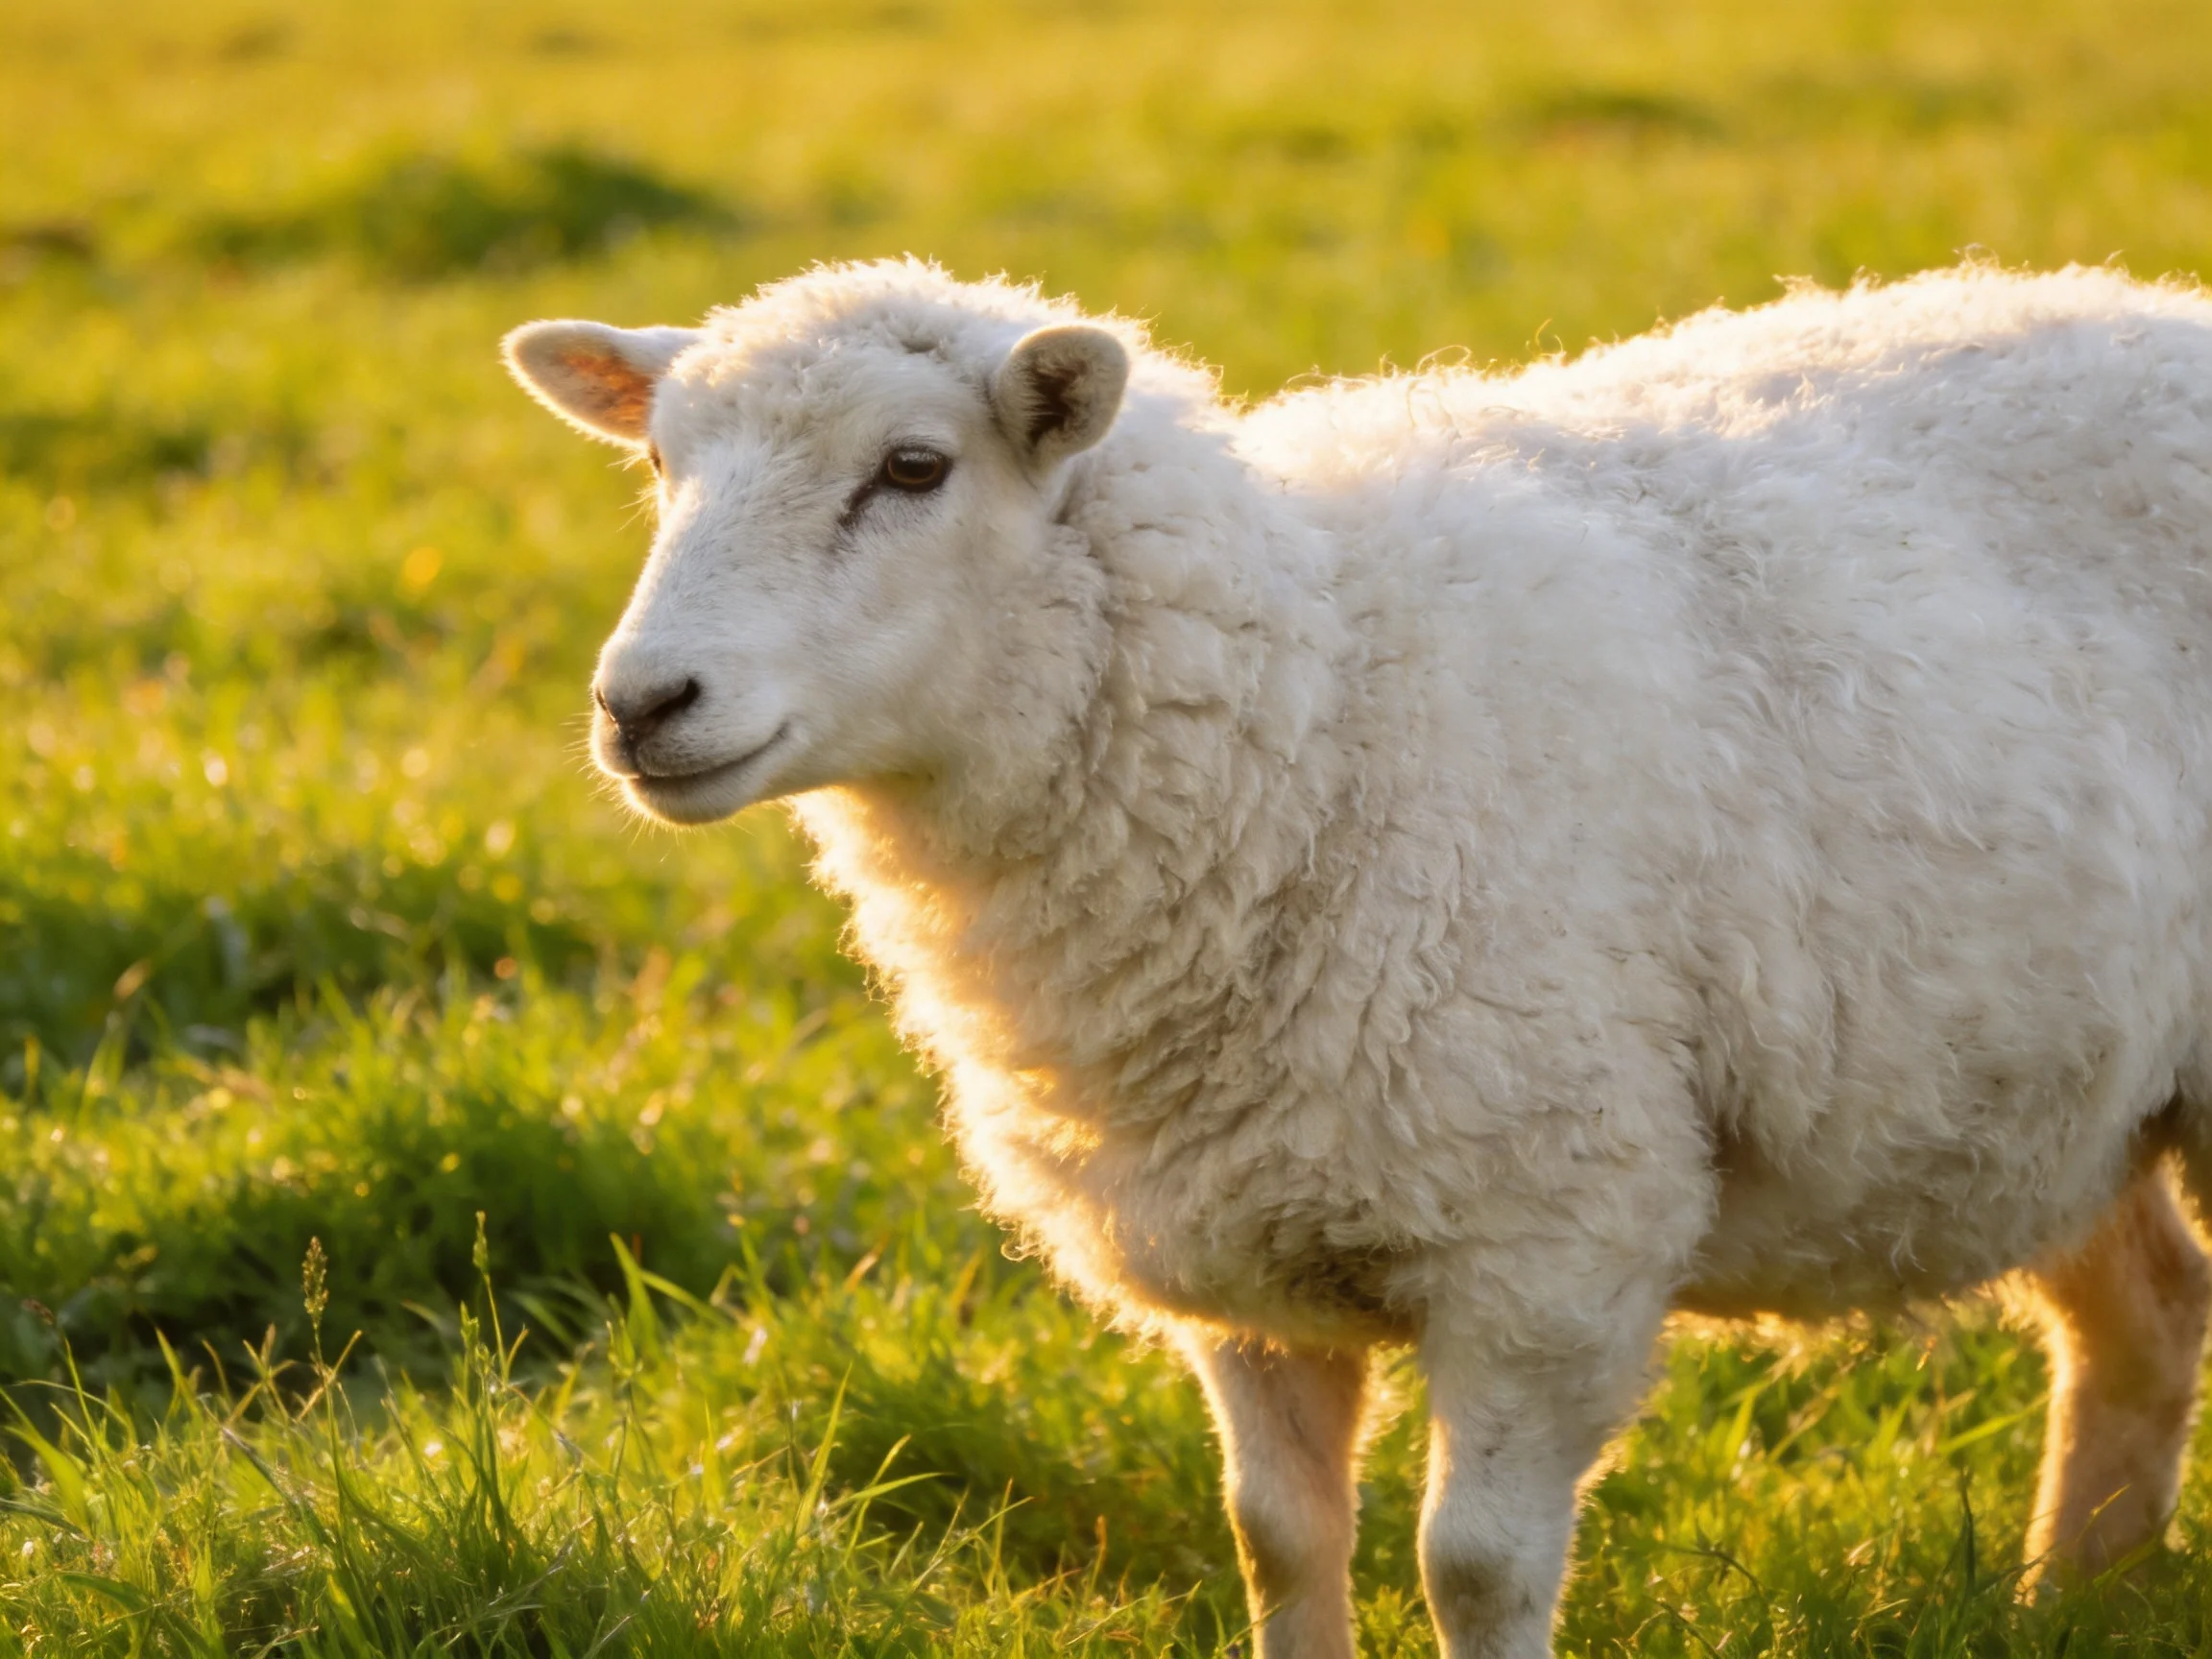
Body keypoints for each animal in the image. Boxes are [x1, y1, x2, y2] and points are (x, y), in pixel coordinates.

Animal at [504, 258, 2212, 1659]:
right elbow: (1276, 1541)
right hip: (2039, 1092)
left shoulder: (1551, 1246)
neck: (1322, 719)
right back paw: (2071, 1609)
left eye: (912, 468)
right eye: (658, 466)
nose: (640, 705)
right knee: (2140, 1319)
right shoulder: (1236, 1249)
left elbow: (1473, 1568)